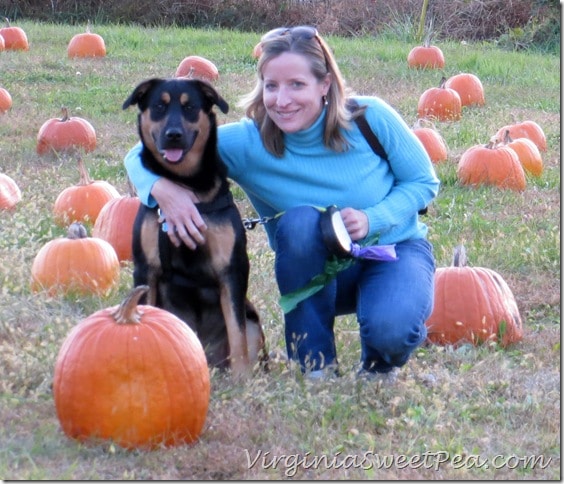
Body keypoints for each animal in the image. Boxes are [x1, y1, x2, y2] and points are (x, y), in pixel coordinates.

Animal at [121, 77, 266, 376]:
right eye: (159, 106)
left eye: (189, 107)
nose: (173, 134)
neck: (185, 183)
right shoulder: (145, 268)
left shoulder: (231, 270)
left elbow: (237, 336)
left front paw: (242, 380)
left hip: (253, 319)